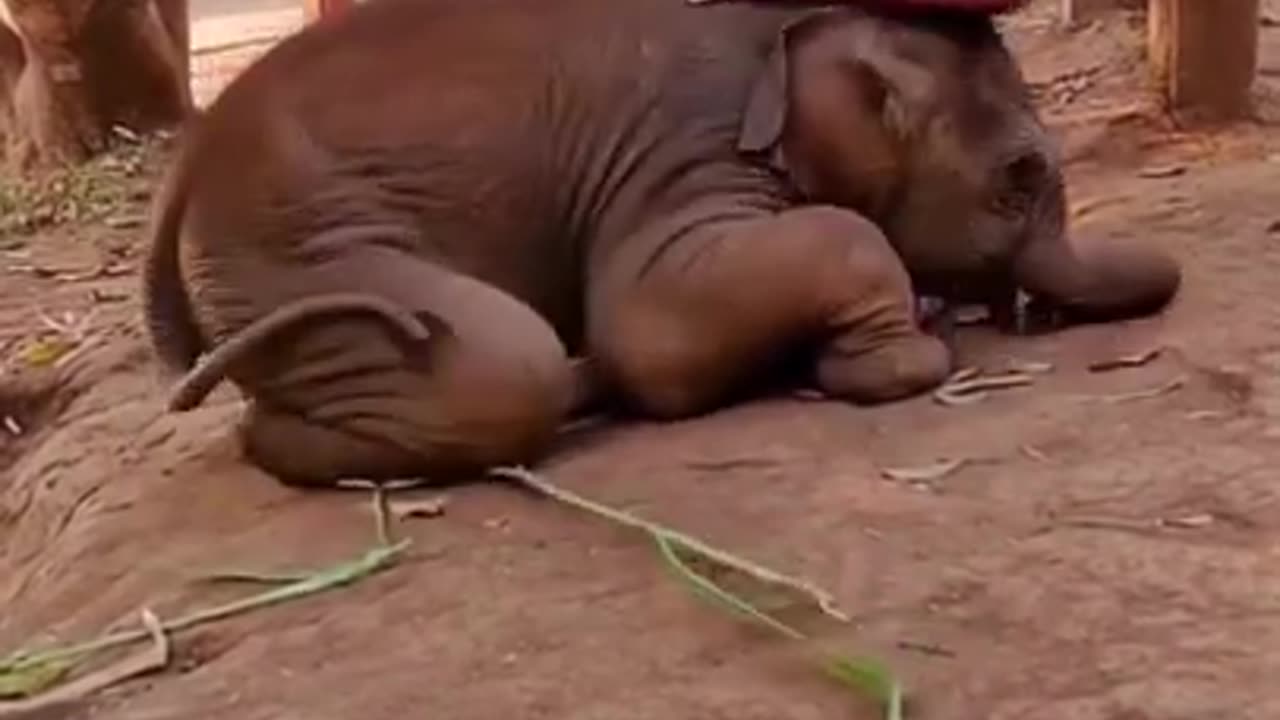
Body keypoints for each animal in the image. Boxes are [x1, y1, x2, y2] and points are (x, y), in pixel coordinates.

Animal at [142, 0, 1177, 484]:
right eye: (1020, 178)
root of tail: (185, 168)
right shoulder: (687, 137)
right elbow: (653, 327)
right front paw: (904, 357)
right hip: (293, 245)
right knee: (504, 366)